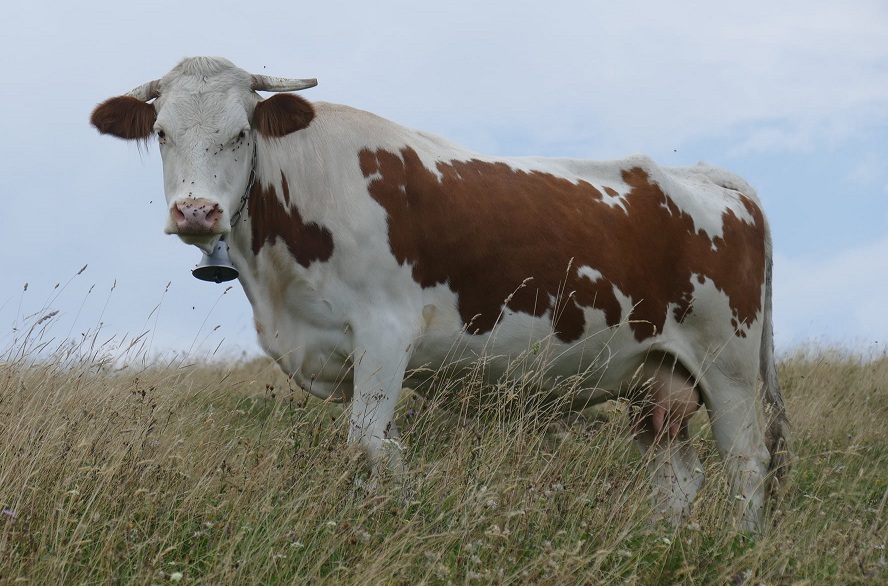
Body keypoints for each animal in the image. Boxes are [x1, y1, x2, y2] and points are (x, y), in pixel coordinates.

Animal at [92, 56, 792, 528]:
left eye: (241, 132)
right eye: (162, 133)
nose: (196, 211)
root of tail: (703, 176)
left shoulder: (384, 333)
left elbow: (370, 447)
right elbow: (379, 449)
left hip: (727, 365)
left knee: (746, 462)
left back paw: (739, 547)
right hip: (655, 379)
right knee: (678, 479)